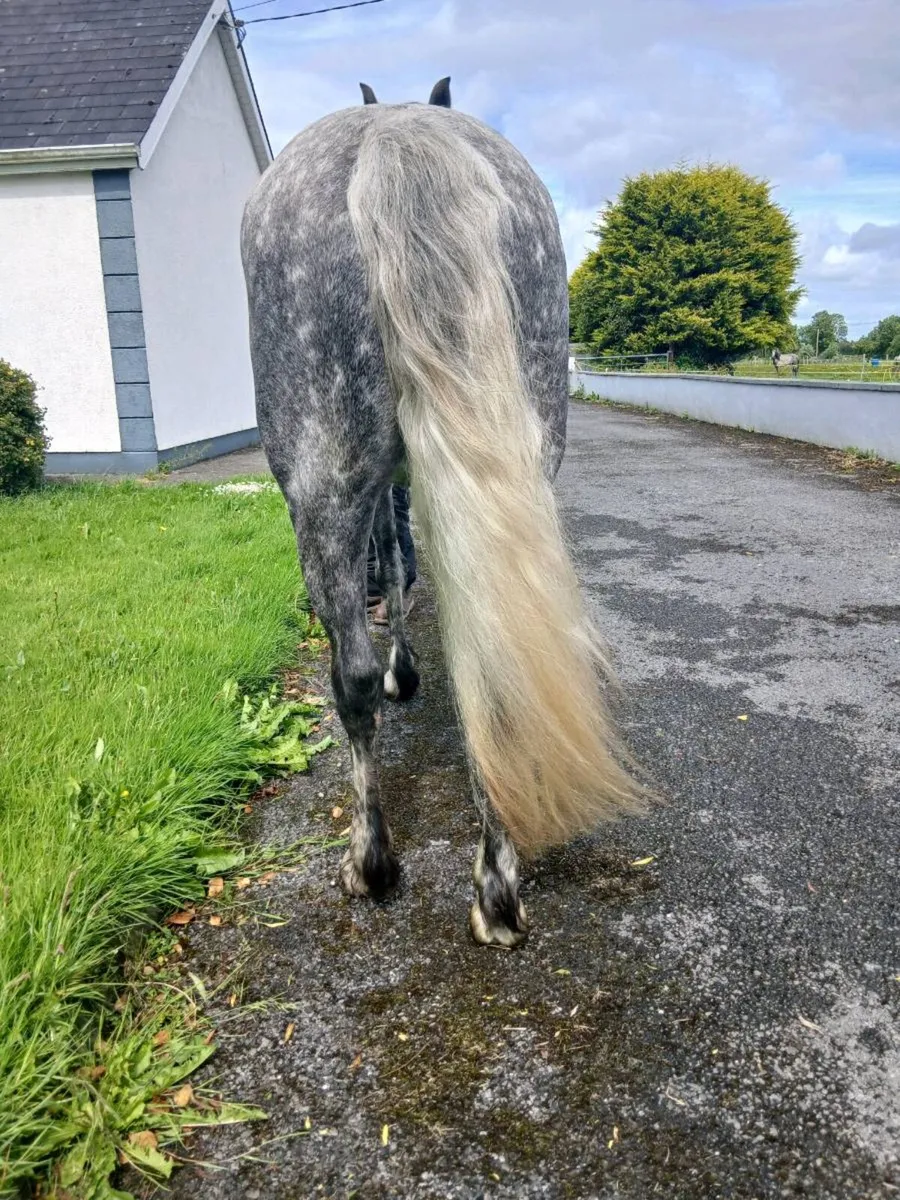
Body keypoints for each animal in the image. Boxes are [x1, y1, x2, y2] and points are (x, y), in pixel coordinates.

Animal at [240, 78, 644, 948]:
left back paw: (373, 865)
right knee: (494, 672)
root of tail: (398, 132)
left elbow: (393, 563)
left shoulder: (383, 488)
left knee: (352, 677)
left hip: (318, 483)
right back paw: (497, 889)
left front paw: (404, 669)